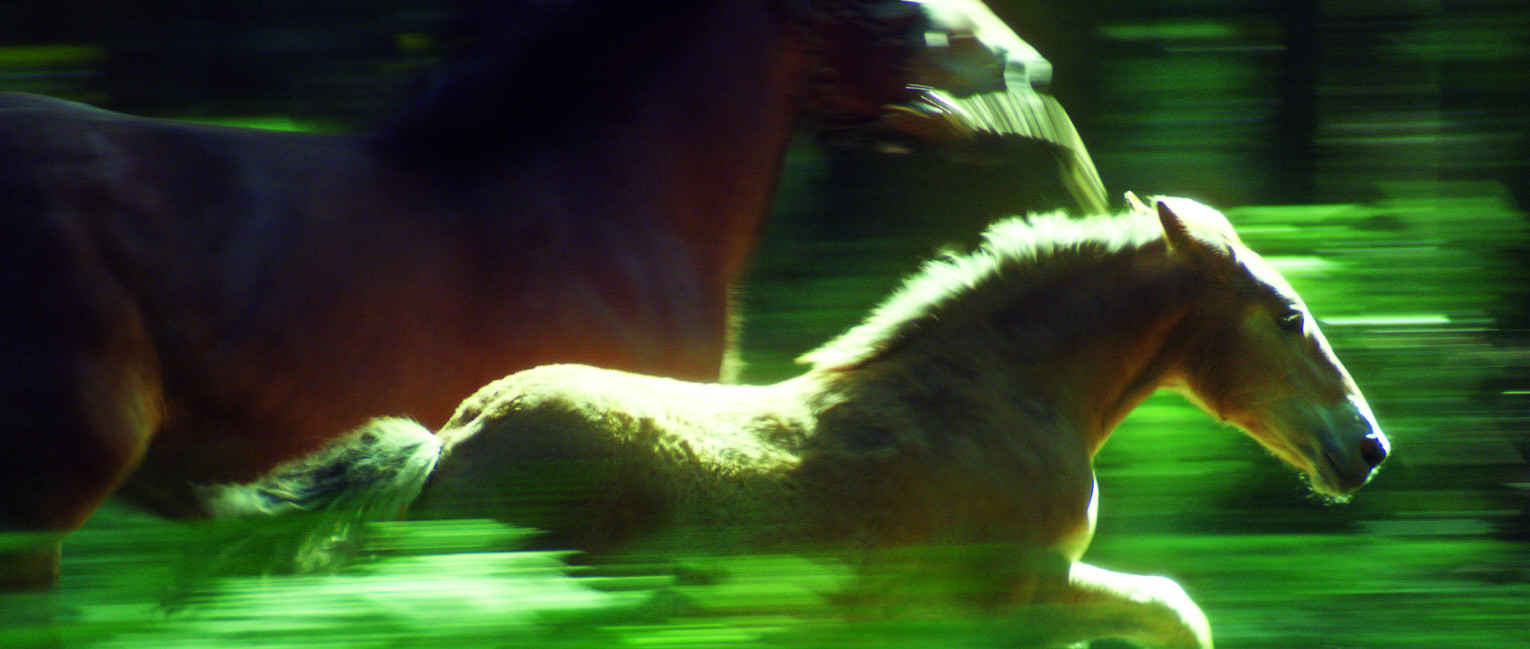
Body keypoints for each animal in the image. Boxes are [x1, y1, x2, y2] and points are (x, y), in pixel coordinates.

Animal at [208, 196, 1389, 648]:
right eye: (1288, 314)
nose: (1367, 448)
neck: (1002, 395)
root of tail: (449, 443)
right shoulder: (1017, 598)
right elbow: (1176, 612)